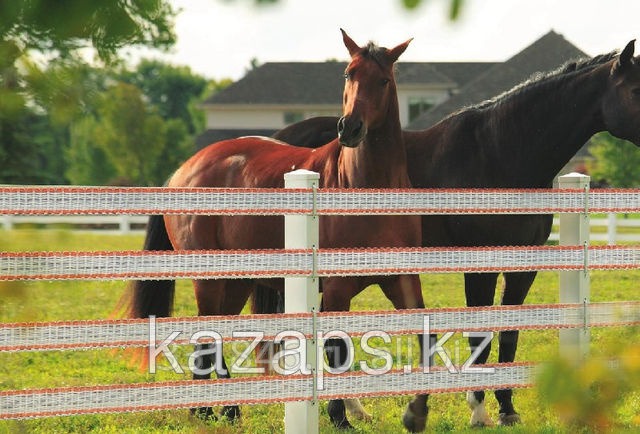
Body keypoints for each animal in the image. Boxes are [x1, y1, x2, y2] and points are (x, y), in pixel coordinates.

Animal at [122, 31, 428, 430]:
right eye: (348, 74)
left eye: (383, 80)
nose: (350, 128)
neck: (363, 186)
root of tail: (184, 170)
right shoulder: (336, 289)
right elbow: (337, 349)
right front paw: (340, 417)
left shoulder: (403, 280)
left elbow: (425, 335)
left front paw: (416, 412)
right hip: (208, 279)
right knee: (207, 332)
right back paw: (208, 409)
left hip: (237, 283)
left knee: (217, 332)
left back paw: (224, 409)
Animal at [268, 41, 640, 430]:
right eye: (634, 90)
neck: (499, 153)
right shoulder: (479, 265)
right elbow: (480, 336)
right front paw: (478, 409)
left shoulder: (524, 268)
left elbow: (509, 336)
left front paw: (507, 408)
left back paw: (354, 409)